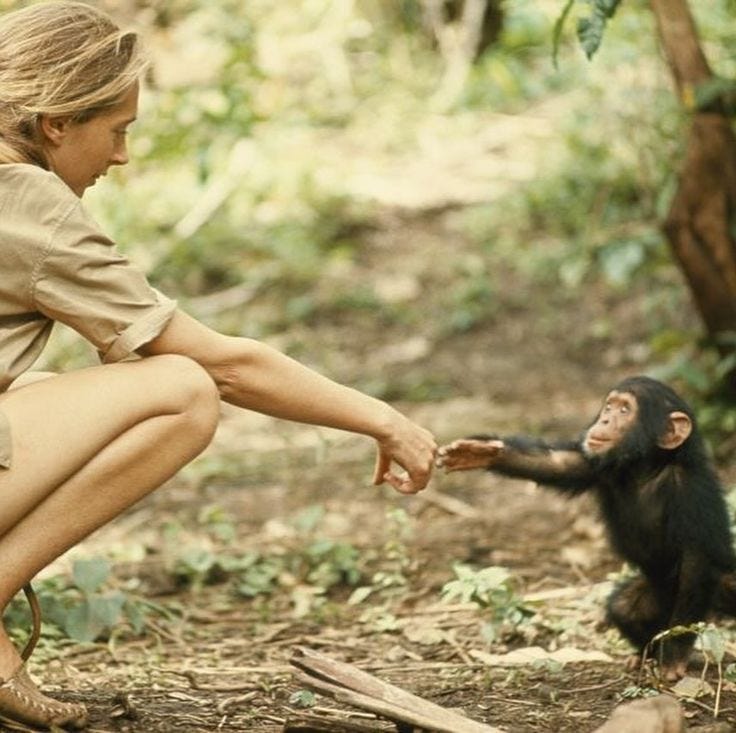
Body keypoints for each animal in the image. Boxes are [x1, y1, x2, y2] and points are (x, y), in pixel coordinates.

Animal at [436, 376, 736, 680]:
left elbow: (695, 562)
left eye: (625, 410)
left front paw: (674, 655)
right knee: (625, 608)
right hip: (656, 595)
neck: (645, 468)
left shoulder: (690, 494)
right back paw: (643, 655)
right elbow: (555, 464)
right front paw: (479, 452)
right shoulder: (595, 464)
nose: (604, 419)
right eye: (609, 406)